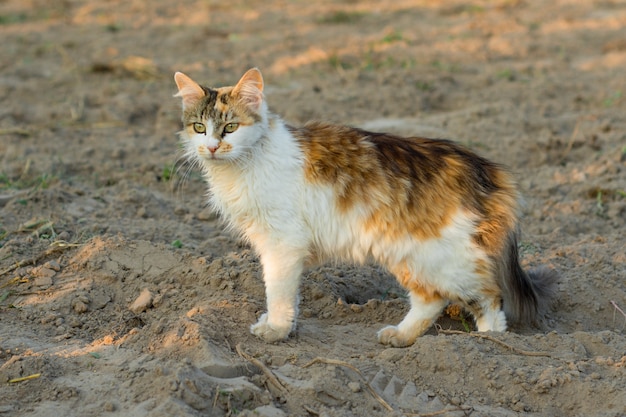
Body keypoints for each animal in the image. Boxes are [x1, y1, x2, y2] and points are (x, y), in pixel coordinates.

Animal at [172, 68, 556, 346]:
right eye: (199, 127)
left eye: (231, 127)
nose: (211, 148)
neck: (245, 164)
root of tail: (486, 167)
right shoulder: (275, 246)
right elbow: (286, 293)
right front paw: (280, 325)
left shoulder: (283, 243)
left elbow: (278, 292)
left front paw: (276, 330)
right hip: (411, 254)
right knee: (431, 298)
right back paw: (400, 337)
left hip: (445, 254)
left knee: (489, 298)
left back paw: (489, 345)